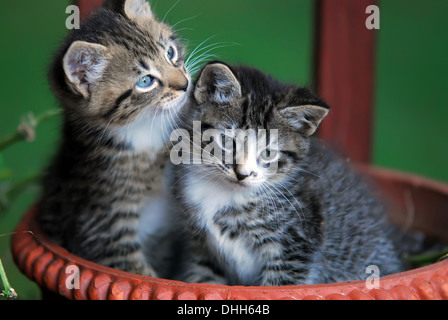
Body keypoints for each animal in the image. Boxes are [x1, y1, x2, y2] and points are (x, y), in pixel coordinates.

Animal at [38, 0, 191, 278]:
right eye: (145, 81)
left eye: (171, 52)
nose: (185, 84)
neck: (143, 129)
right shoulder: (102, 224)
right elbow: (135, 271)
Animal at [172, 62, 402, 284]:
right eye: (228, 141)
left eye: (268, 153)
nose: (243, 174)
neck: (225, 193)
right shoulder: (202, 249)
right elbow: (203, 279)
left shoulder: (295, 246)